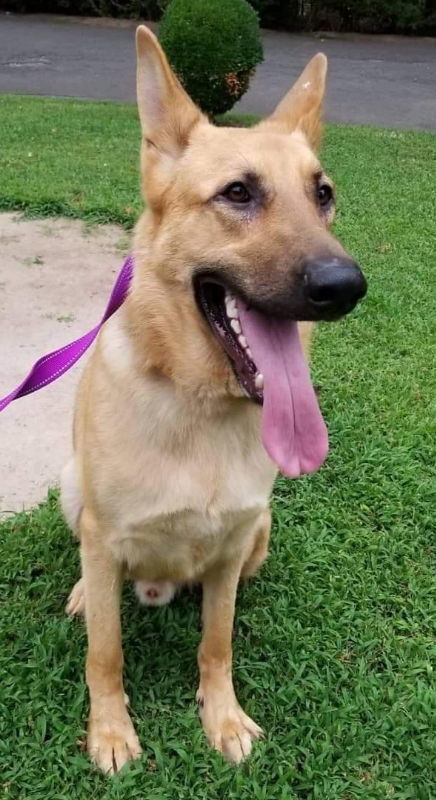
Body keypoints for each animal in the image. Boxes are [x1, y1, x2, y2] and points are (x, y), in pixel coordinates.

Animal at [60, 26, 364, 776]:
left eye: (323, 194)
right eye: (237, 193)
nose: (345, 286)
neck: (198, 402)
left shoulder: (229, 551)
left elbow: (216, 642)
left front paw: (220, 717)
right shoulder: (105, 540)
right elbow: (105, 653)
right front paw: (110, 732)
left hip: (261, 532)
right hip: (72, 490)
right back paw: (84, 592)